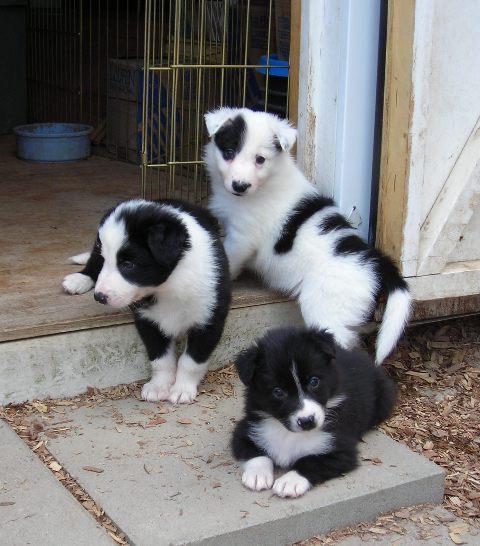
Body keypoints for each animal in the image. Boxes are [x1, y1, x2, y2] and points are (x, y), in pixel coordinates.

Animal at [62, 198, 231, 402]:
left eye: (128, 265)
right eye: (106, 261)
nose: (99, 297)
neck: (169, 286)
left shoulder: (210, 318)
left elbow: (191, 361)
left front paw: (182, 389)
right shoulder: (147, 320)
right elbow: (160, 358)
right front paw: (159, 386)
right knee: (91, 261)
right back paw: (78, 279)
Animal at [204, 107, 410, 364]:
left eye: (260, 159)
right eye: (229, 153)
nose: (240, 186)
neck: (266, 183)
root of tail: (373, 258)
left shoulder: (242, 237)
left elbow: (229, 259)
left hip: (324, 306)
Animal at [231, 328, 396, 498]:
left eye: (314, 381)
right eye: (278, 391)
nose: (307, 421)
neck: (288, 434)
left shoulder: (341, 450)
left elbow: (311, 461)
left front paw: (290, 481)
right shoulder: (244, 431)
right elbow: (256, 453)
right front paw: (257, 475)